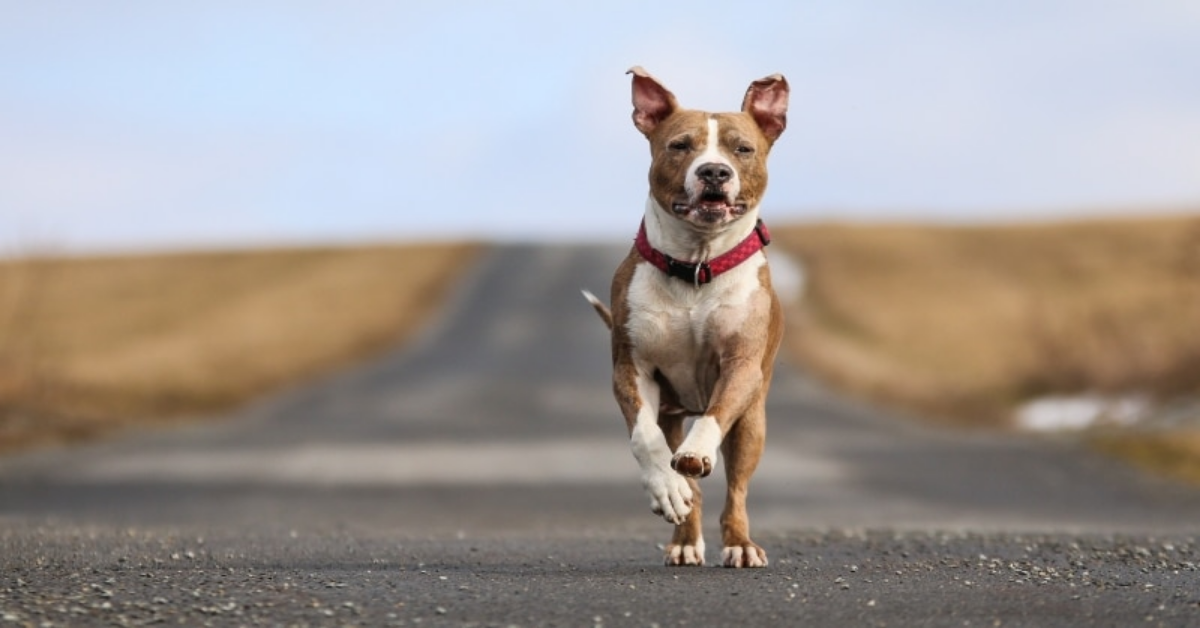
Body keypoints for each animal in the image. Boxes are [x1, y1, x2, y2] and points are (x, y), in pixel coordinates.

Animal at [585, 68, 792, 569]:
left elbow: (714, 419)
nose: (714, 171)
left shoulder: (741, 367)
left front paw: (697, 452)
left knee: (736, 487)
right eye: (680, 145)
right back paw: (683, 537)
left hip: (753, 421)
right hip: (671, 411)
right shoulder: (633, 369)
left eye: (742, 148)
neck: (697, 265)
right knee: (688, 484)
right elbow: (645, 440)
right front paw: (666, 488)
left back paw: (740, 543)